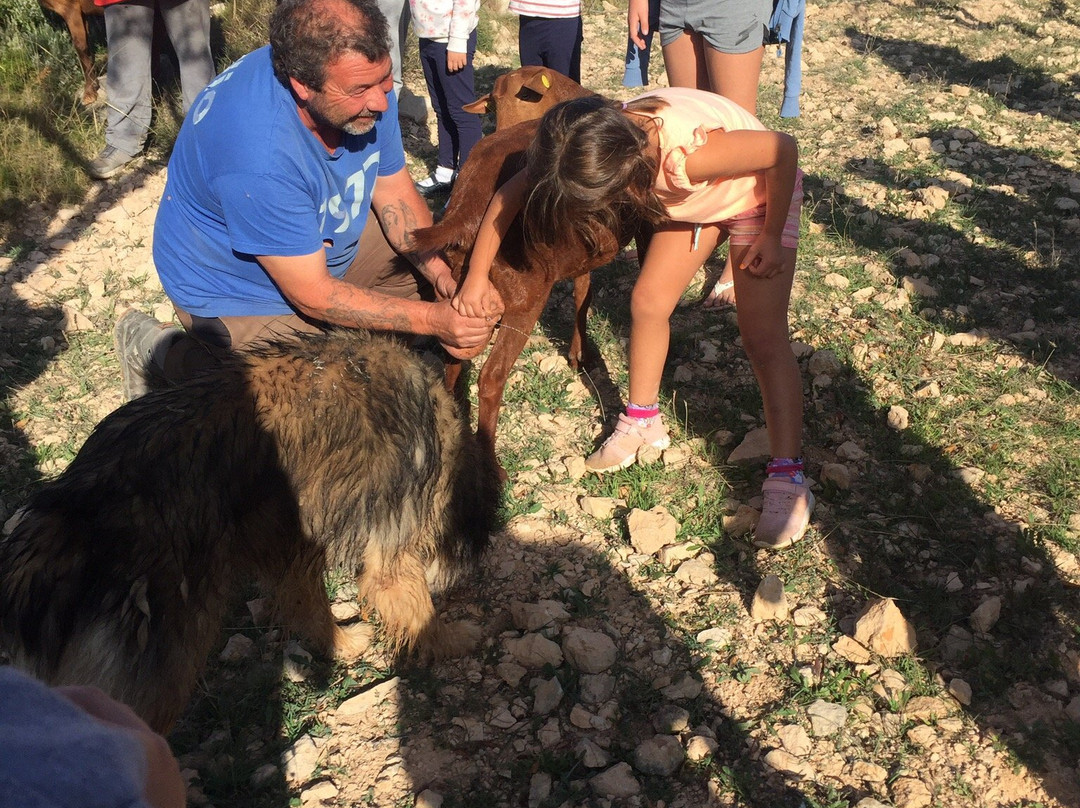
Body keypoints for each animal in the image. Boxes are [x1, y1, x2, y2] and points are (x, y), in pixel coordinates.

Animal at [0, 328, 496, 730]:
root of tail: (62, 521)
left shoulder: (291, 536)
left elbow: (305, 600)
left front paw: (338, 642)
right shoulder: (393, 533)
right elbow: (411, 600)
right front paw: (449, 638)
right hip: (168, 658)